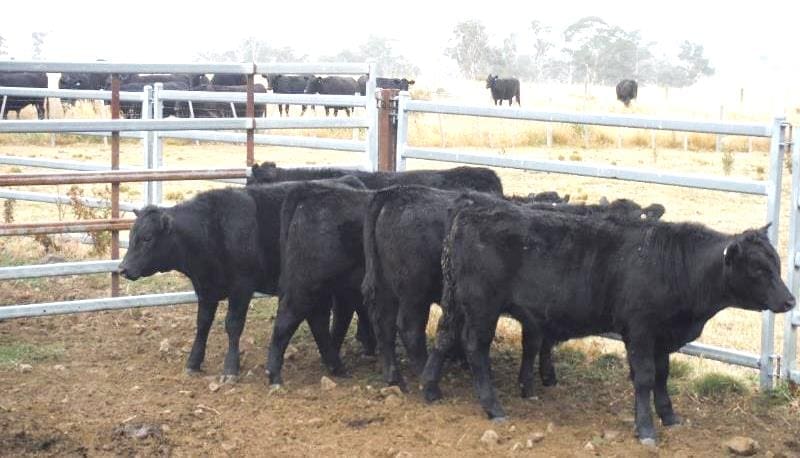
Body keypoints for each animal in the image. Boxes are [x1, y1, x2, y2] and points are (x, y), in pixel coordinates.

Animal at [116, 177, 366, 382]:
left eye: (147, 238)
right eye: (132, 235)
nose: (123, 268)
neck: (213, 227)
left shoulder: (242, 287)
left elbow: (233, 325)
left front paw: (230, 369)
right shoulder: (205, 288)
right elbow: (203, 324)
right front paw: (193, 363)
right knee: (320, 320)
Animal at [362, 186, 664, 390]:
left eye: (642, 217)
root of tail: (394, 193)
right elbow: (535, 343)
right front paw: (532, 381)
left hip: (388, 287)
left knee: (383, 324)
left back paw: (394, 376)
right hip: (414, 292)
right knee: (409, 330)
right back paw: (422, 371)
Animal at [418, 199, 792, 444]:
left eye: (776, 262)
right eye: (758, 268)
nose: (790, 301)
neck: (675, 265)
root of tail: (471, 212)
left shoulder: (662, 336)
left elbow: (662, 377)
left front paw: (670, 417)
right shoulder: (640, 331)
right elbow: (644, 378)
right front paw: (646, 429)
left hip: (457, 303)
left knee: (444, 338)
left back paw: (430, 389)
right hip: (483, 307)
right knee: (475, 349)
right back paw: (492, 406)